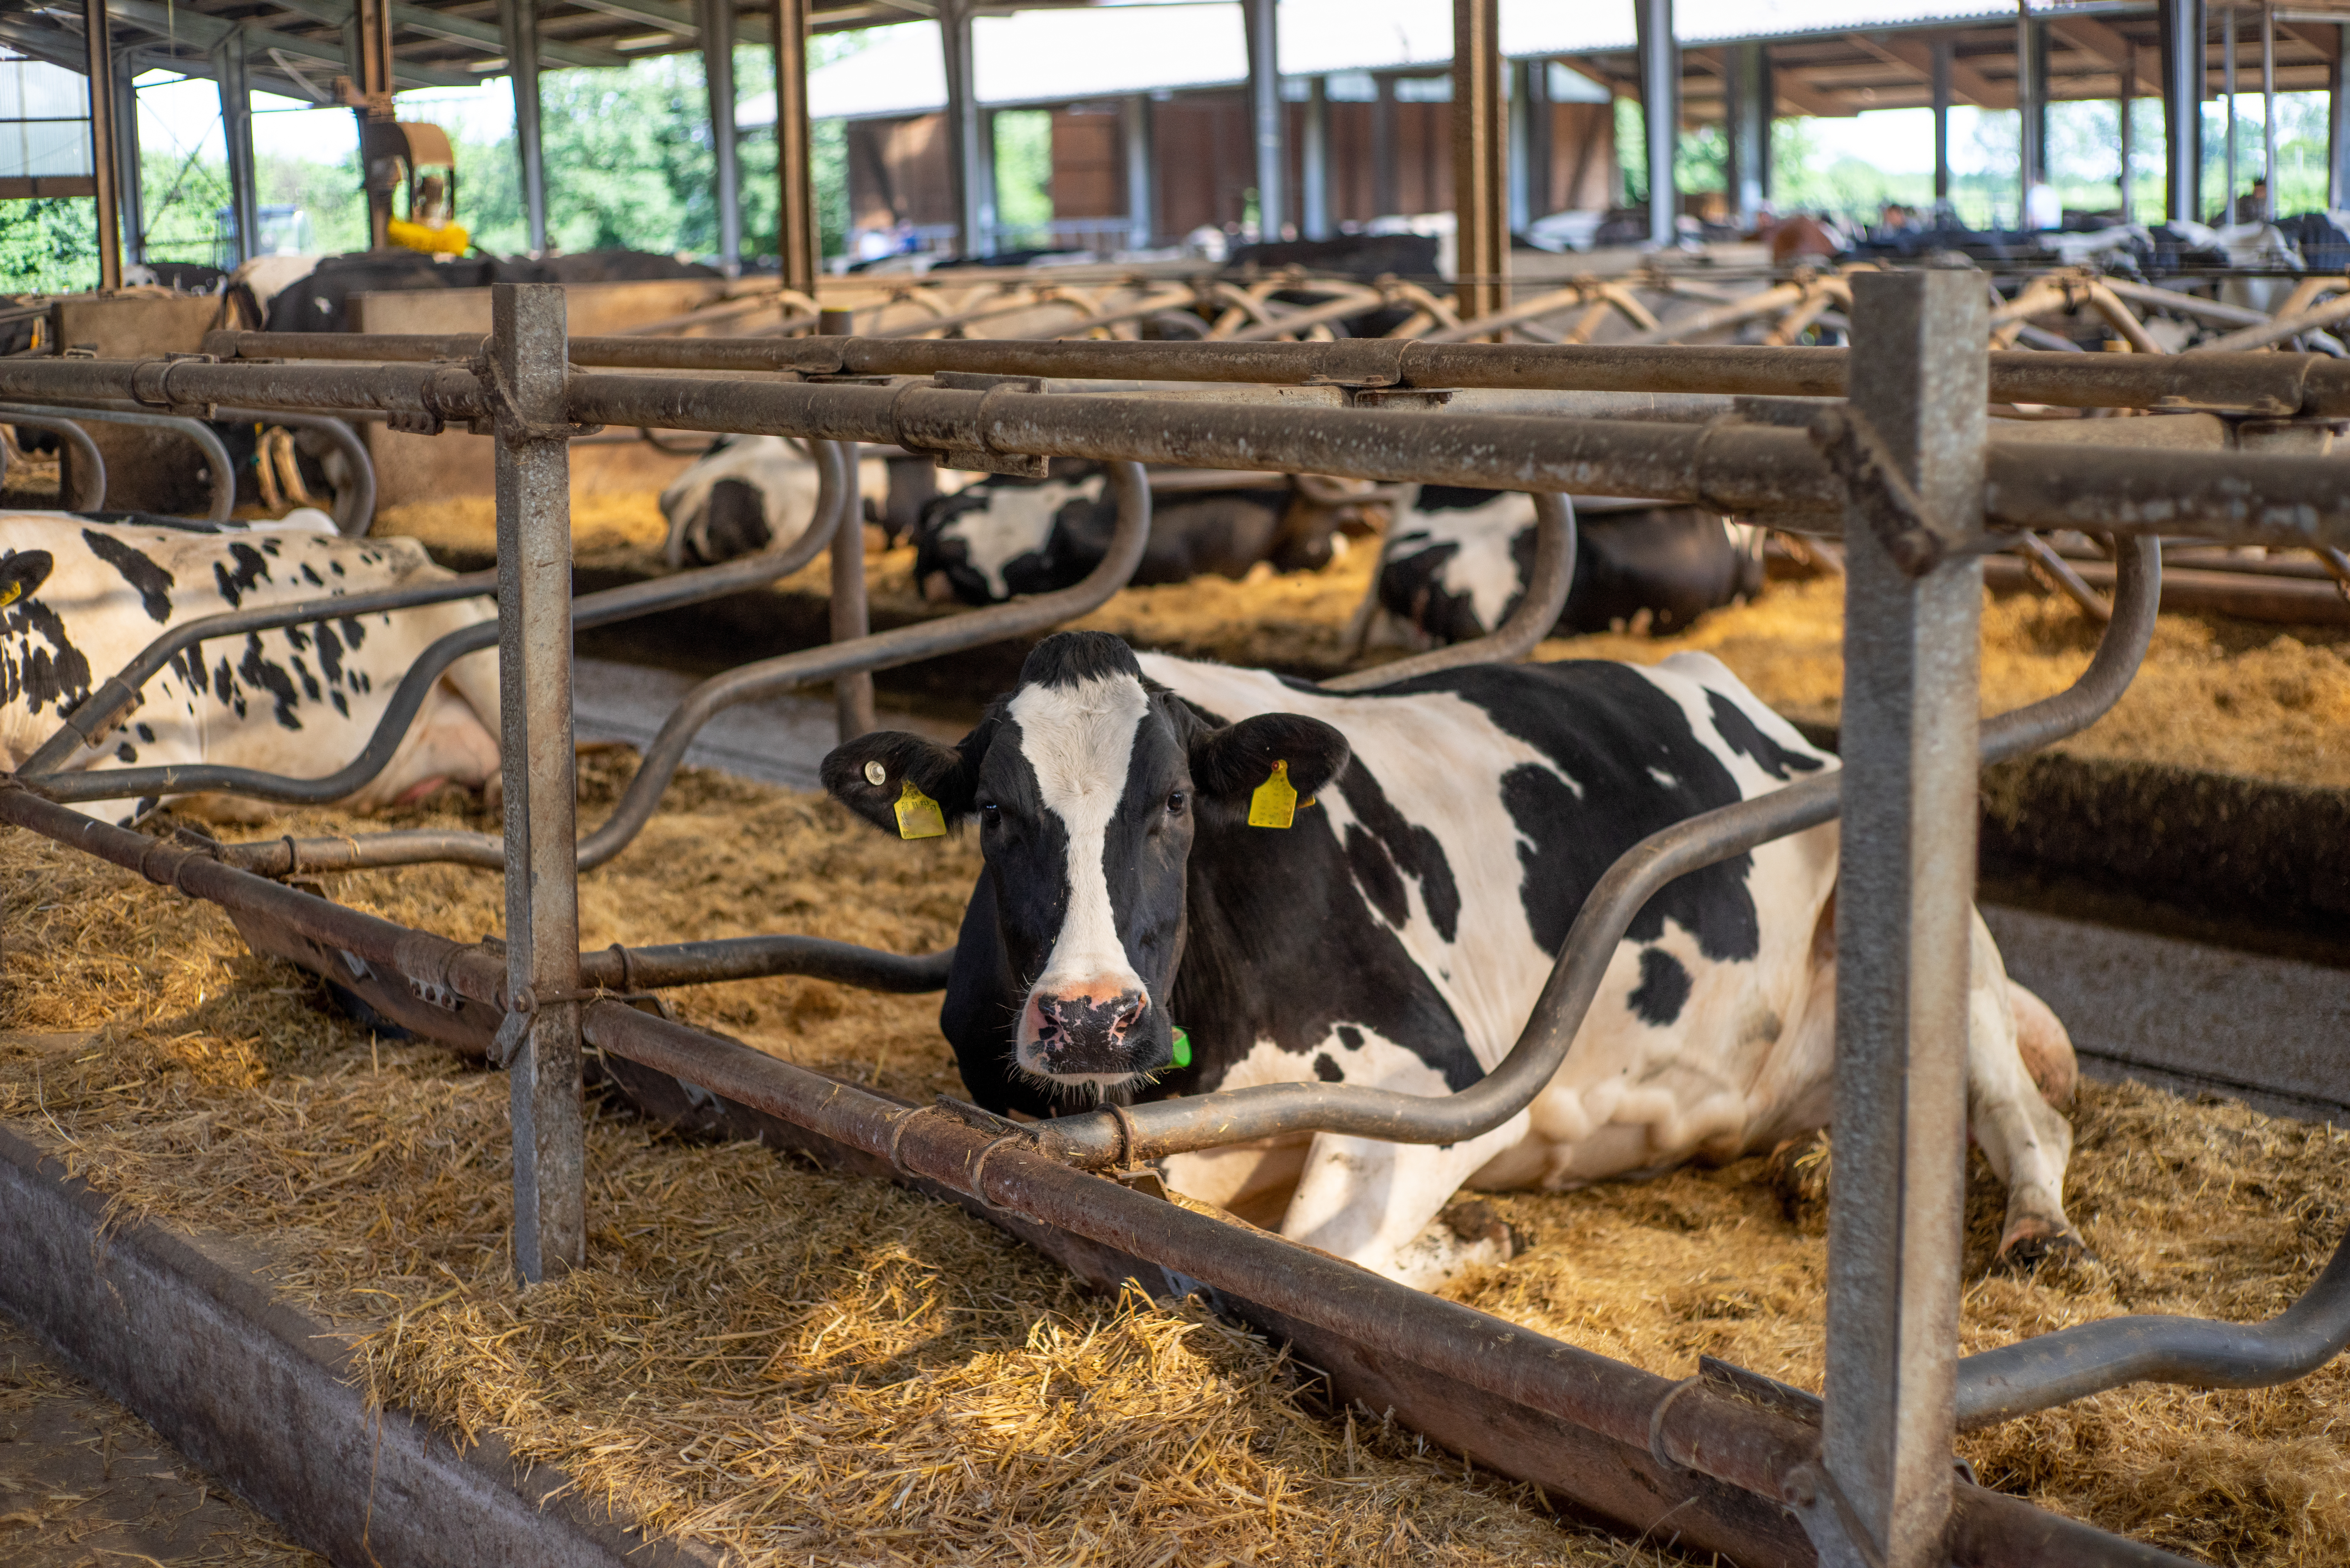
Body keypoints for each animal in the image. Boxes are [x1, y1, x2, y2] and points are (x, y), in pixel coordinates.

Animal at [820, 630, 2081, 1289]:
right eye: (993, 811)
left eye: (1175, 801)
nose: (1088, 1016)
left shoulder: (1445, 1075)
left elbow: (1316, 1244)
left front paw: (1468, 1240)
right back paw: (1813, 1163)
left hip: (1937, 928)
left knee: (2026, 1115)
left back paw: (2042, 1234)